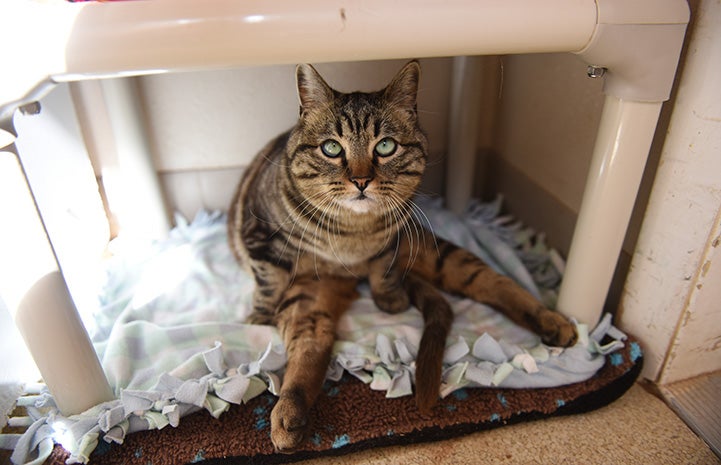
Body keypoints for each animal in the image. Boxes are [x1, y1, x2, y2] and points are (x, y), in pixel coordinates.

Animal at [228, 59, 576, 452]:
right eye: (331, 147)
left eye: (386, 146)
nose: (360, 180)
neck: (352, 237)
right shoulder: (261, 240)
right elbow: (269, 283)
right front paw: (259, 316)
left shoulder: (395, 241)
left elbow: (385, 269)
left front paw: (389, 299)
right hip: (310, 296)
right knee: (308, 352)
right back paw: (289, 414)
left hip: (433, 251)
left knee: (493, 281)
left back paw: (553, 322)